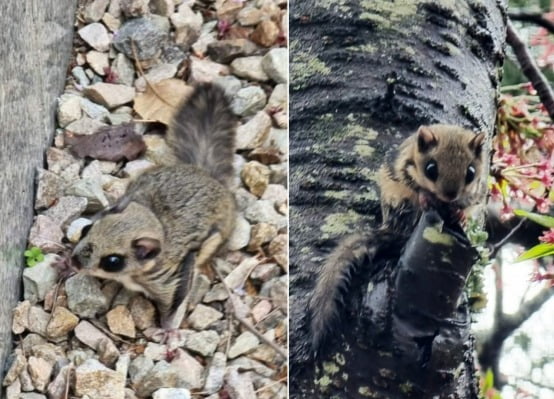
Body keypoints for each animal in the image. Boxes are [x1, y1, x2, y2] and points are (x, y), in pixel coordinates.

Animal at [71, 83, 235, 332]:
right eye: (85, 230)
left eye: (112, 262)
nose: (74, 263)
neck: (154, 219)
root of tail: (203, 172)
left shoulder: (171, 276)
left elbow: (174, 302)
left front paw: (168, 331)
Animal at [308, 125, 486, 354]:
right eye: (431, 169)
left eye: (470, 173)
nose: (450, 195)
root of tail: (393, 228)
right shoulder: (405, 169)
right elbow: (417, 187)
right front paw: (425, 197)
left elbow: (467, 203)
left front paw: (460, 214)